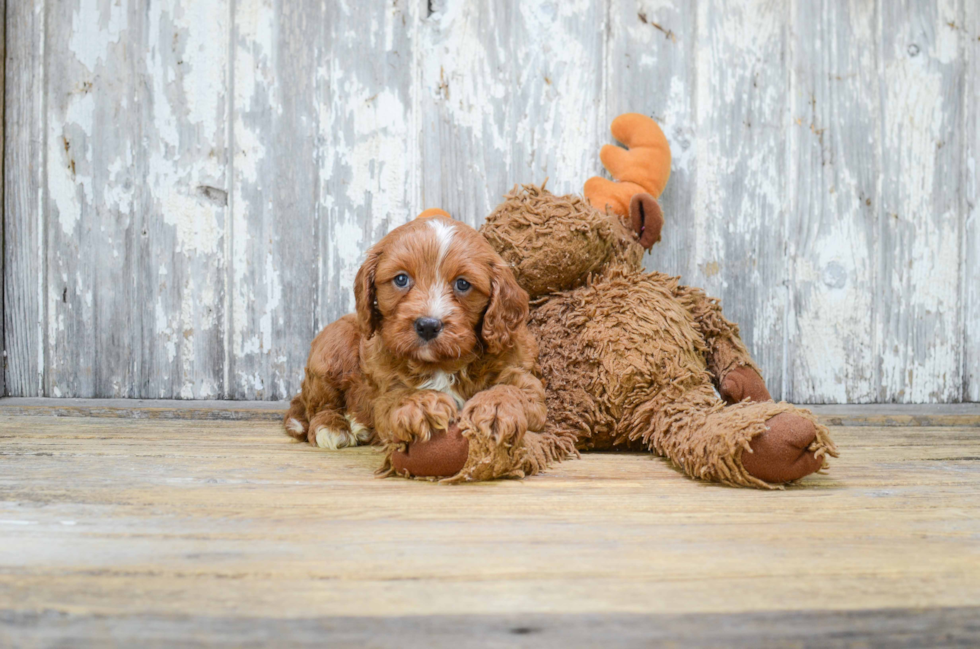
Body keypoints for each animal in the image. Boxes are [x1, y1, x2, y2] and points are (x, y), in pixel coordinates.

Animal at [284, 210, 548, 468]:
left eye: (463, 284)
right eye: (401, 279)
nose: (428, 326)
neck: (442, 364)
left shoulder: (521, 373)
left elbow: (515, 389)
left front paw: (494, 407)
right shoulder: (383, 392)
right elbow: (398, 396)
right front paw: (421, 404)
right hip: (333, 349)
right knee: (319, 405)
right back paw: (333, 426)